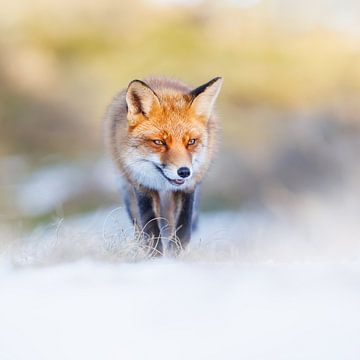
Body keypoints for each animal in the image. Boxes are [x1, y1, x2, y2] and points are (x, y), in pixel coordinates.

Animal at [104, 77, 222, 255]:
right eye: (159, 142)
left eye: (191, 141)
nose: (184, 172)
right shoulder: (143, 186)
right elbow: (151, 230)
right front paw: (156, 256)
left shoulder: (187, 189)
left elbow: (183, 230)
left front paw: (175, 253)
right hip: (127, 190)